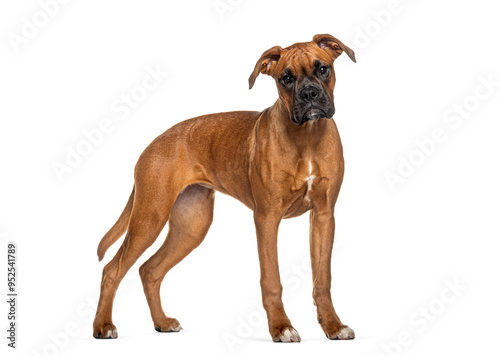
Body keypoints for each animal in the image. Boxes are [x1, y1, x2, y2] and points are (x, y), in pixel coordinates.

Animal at [93, 33, 356, 342]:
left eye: (323, 69)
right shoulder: (267, 219)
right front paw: (281, 327)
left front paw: (333, 326)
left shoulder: (324, 216)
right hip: (149, 218)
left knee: (150, 270)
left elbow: (322, 279)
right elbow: (272, 280)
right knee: (112, 270)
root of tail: (152, 144)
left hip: (191, 227)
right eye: (286, 78)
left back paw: (162, 322)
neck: (307, 138)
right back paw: (102, 326)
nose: (309, 95)